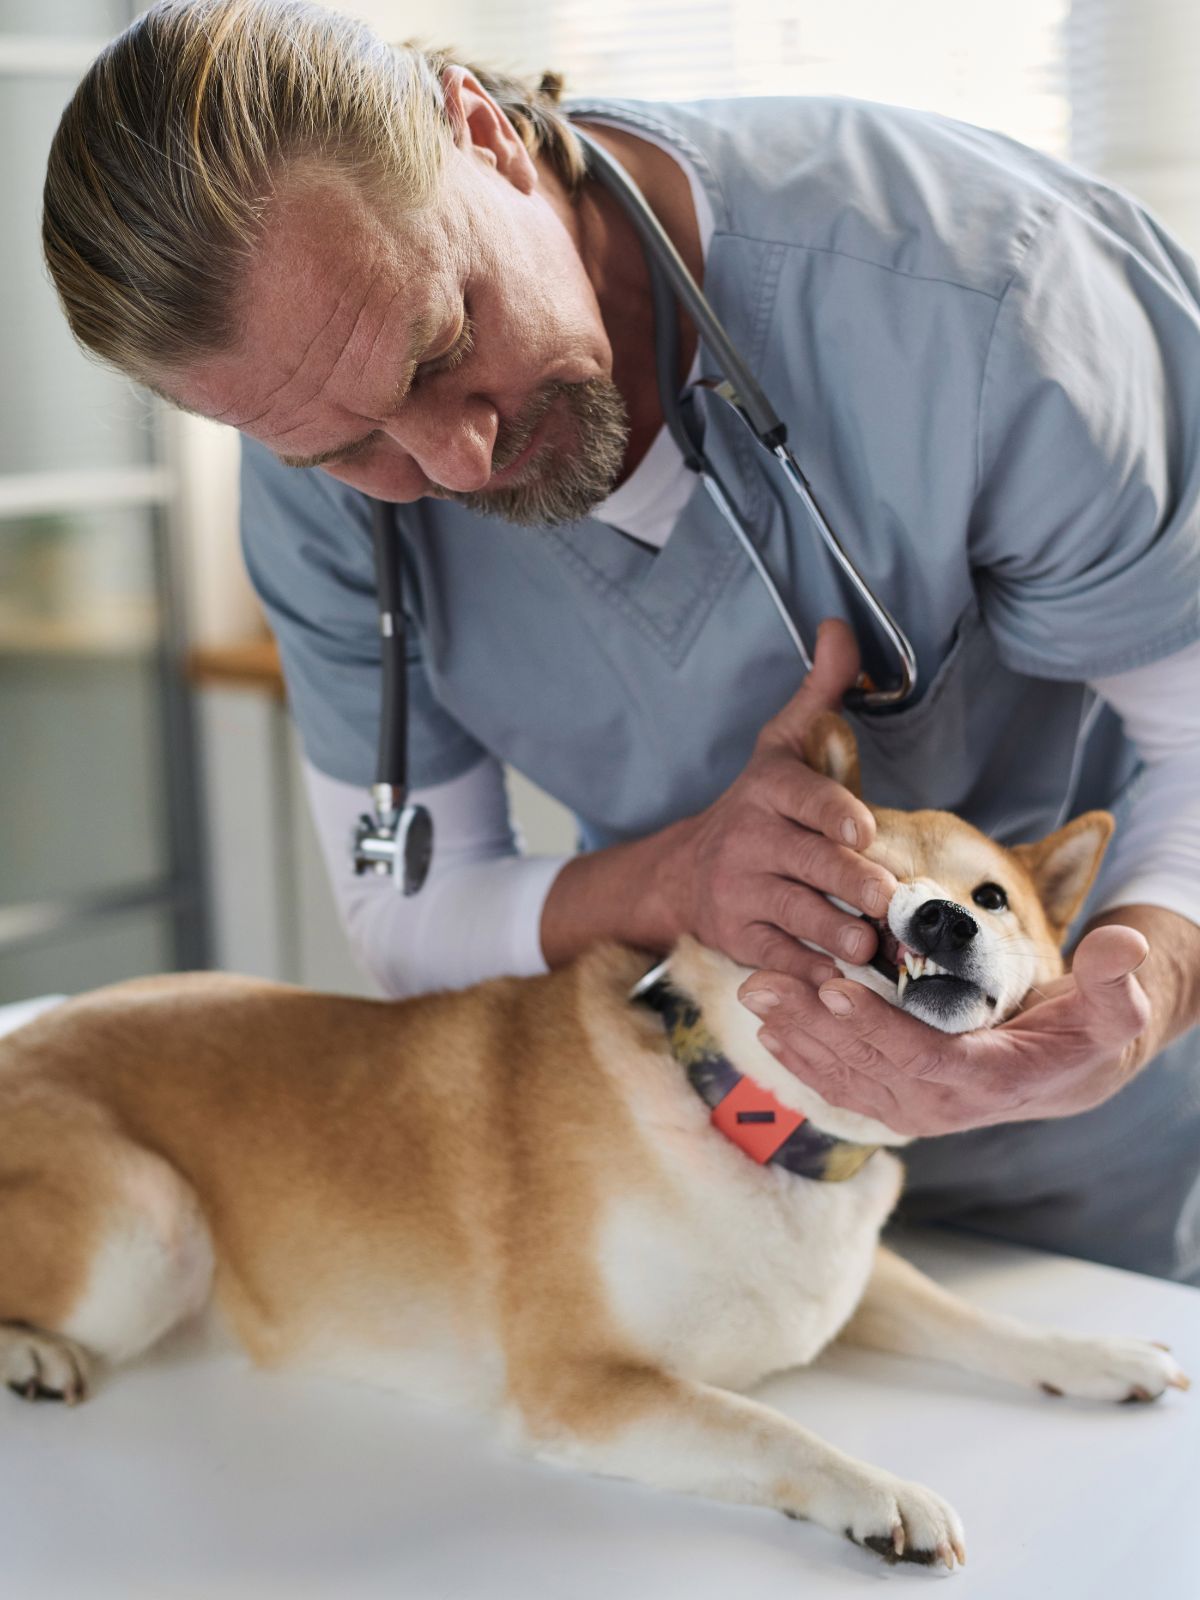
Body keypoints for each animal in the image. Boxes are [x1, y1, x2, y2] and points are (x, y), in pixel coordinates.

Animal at [0, 720, 1184, 1568]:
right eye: (850, 885)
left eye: (993, 897)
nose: (941, 920)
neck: (742, 1115)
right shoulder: (585, 1387)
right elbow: (769, 1429)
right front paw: (880, 1491)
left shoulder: (852, 1283)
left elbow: (976, 1318)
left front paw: (1098, 1355)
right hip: (152, 1231)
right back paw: (34, 1353)